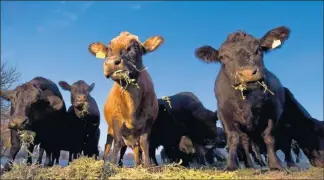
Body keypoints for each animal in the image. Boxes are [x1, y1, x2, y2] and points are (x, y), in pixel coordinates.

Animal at [87, 31, 163, 167]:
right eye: (109, 48)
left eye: (136, 47)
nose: (111, 63)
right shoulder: (116, 119)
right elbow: (117, 143)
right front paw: (112, 166)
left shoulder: (148, 121)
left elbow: (144, 143)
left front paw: (148, 166)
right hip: (110, 130)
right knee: (109, 146)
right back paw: (106, 164)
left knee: (135, 150)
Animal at [195, 25, 292, 170]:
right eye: (223, 57)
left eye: (259, 49)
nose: (247, 73)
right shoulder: (224, 112)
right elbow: (233, 137)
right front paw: (231, 166)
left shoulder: (273, 110)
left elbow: (269, 136)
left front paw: (275, 164)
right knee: (246, 142)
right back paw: (250, 165)